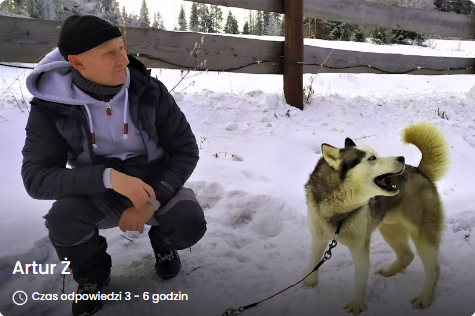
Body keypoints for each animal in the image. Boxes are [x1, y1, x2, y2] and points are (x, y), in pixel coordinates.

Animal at [304, 121, 450, 314]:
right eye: (372, 158)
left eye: (377, 154)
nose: (401, 158)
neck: (339, 210)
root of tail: (420, 171)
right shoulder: (318, 238)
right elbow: (313, 264)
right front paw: (307, 286)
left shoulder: (359, 246)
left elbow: (359, 280)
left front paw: (357, 306)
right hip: (389, 229)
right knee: (407, 255)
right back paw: (390, 271)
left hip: (424, 236)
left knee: (434, 269)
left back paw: (425, 298)